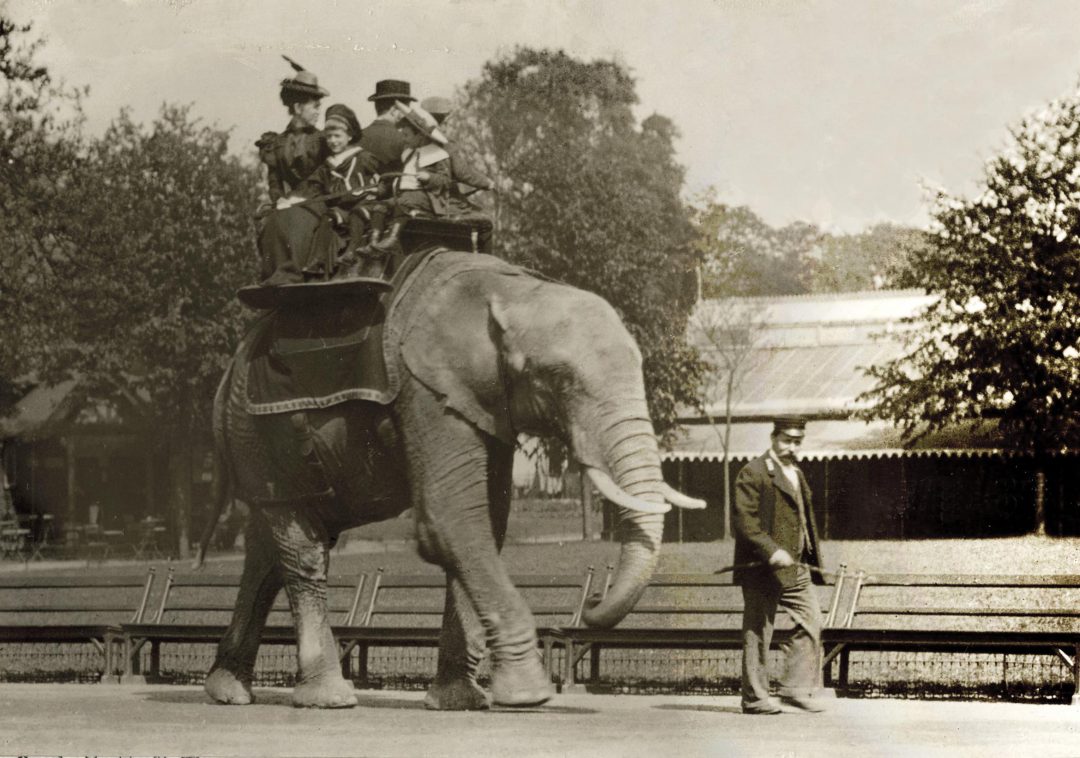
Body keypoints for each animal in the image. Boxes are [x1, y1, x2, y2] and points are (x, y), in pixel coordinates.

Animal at [196, 250, 699, 712]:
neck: (511, 288)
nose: (591, 600)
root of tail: (224, 381)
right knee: (300, 548)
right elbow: (453, 515)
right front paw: (527, 696)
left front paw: (460, 700)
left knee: (268, 549)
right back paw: (327, 698)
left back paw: (228, 691)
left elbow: (485, 521)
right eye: (558, 378)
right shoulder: (426, 388)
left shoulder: (483, 401)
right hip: (256, 433)